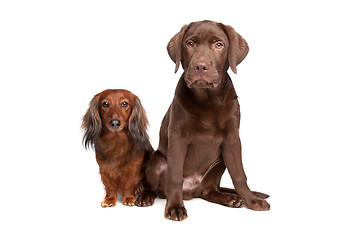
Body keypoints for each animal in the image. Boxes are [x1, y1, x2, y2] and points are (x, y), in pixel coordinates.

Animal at [136, 20, 270, 219]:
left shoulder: (232, 138)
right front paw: (175, 206)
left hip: (220, 162)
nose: (200, 66)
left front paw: (252, 200)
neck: (209, 98)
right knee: (156, 186)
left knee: (208, 191)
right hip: (156, 161)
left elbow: (239, 174)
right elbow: (174, 175)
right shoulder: (178, 135)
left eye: (219, 44)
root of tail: (191, 191)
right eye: (190, 43)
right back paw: (146, 196)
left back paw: (230, 199)